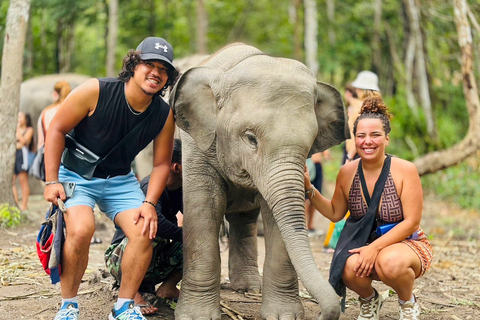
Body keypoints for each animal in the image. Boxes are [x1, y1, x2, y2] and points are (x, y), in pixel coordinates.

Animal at [170, 43, 348, 320]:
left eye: (310, 145)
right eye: (251, 138)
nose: (321, 313)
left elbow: (276, 214)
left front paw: (284, 316)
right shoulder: (197, 143)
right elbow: (203, 207)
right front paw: (197, 317)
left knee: (244, 221)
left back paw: (248, 288)